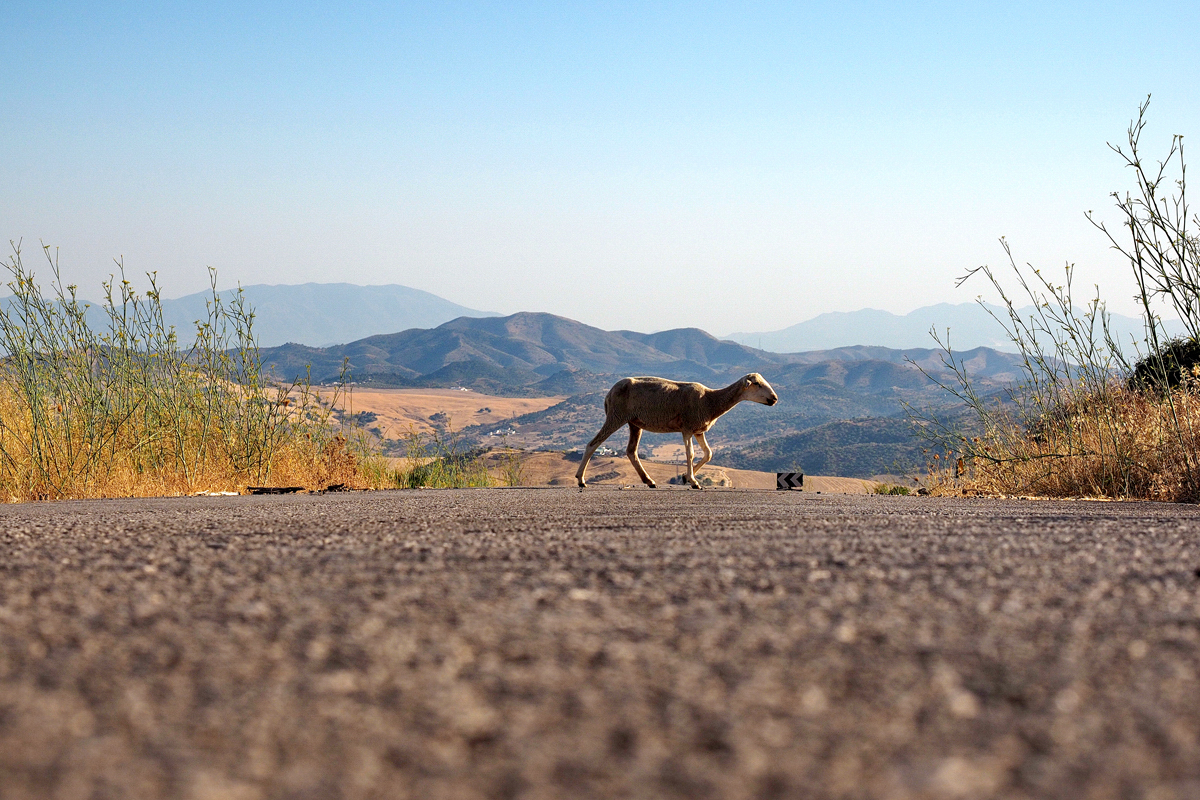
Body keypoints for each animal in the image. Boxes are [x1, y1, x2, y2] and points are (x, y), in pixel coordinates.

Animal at [578, 374, 782, 491]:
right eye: (757, 384)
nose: (774, 399)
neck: (710, 401)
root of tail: (609, 393)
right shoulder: (687, 428)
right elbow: (690, 454)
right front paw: (693, 481)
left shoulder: (699, 430)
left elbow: (708, 454)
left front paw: (685, 477)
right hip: (616, 415)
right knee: (593, 444)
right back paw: (581, 480)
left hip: (634, 422)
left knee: (631, 451)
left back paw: (649, 481)